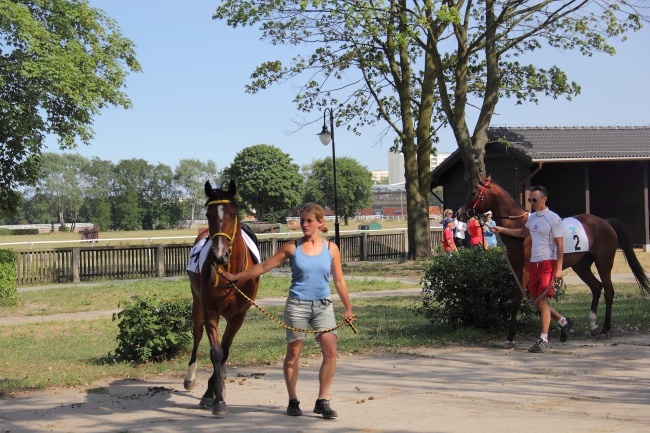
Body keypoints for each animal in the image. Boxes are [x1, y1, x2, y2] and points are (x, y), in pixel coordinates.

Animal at [182, 179, 258, 416]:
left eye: (233, 214)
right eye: (208, 214)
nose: (219, 255)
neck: (230, 273)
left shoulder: (238, 316)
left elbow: (224, 352)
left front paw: (217, 389)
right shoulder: (210, 310)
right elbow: (216, 352)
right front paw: (216, 398)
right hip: (197, 302)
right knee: (197, 334)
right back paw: (190, 378)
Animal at [456, 175, 648, 344]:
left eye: (472, 193)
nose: (459, 214)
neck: (522, 230)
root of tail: (605, 222)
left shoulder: (524, 270)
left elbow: (518, 300)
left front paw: (511, 337)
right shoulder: (520, 271)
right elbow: (535, 300)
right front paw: (561, 325)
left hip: (604, 262)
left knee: (608, 291)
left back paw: (605, 330)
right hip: (581, 265)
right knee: (596, 287)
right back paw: (593, 325)